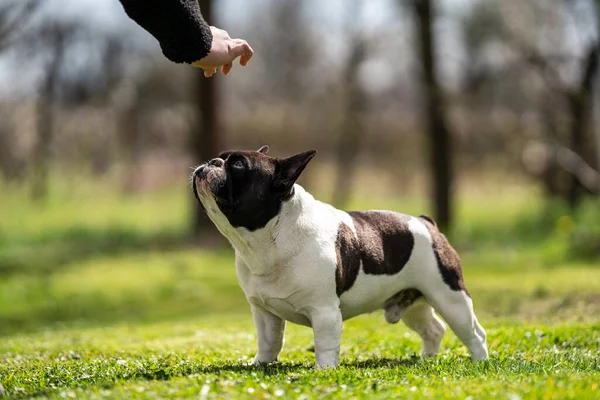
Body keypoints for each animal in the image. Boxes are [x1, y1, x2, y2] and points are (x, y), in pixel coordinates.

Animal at [192, 147, 488, 368]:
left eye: (238, 165)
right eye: (221, 158)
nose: (212, 162)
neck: (268, 238)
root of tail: (426, 222)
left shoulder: (324, 312)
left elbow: (324, 344)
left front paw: (323, 370)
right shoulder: (264, 312)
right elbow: (269, 341)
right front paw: (260, 364)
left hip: (449, 296)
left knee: (474, 332)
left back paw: (480, 362)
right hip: (414, 302)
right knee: (434, 328)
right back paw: (427, 359)